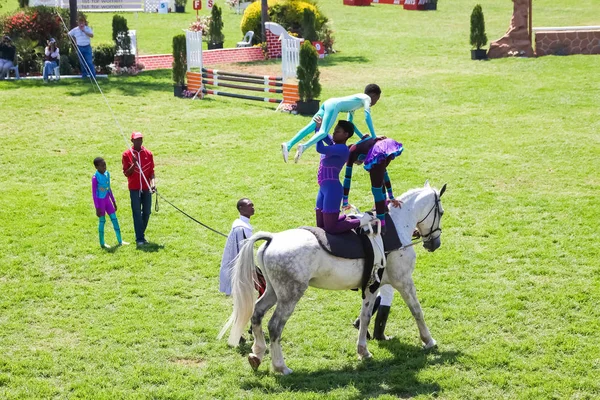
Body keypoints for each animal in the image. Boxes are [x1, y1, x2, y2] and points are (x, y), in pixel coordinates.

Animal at [219, 181, 446, 376]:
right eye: (441, 213)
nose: (434, 244)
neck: (395, 228)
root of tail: (273, 238)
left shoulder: (372, 286)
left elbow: (365, 316)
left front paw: (363, 351)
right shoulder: (403, 281)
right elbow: (416, 310)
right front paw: (429, 341)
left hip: (274, 291)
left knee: (257, 313)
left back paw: (257, 354)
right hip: (290, 296)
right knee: (275, 326)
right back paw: (280, 367)